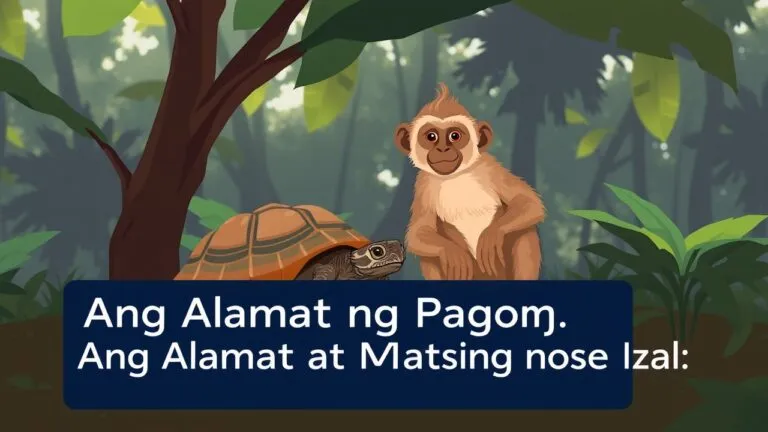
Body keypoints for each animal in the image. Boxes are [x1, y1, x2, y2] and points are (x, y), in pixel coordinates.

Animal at [395, 83, 545, 280]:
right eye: (431, 137)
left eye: (455, 136)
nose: (443, 149)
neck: (456, 176)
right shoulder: (423, 184)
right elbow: (419, 233)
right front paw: (451, 251)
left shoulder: (490, 167)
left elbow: (529, 202)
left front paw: (491, 233)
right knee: (432, 254)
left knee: (523, 229)